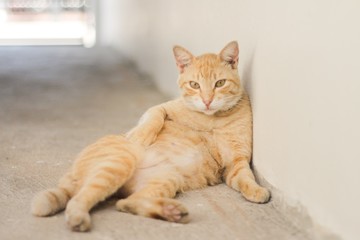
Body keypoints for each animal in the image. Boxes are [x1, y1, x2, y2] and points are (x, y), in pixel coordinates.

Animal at [31, 40, 270, 231]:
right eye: (194, 85)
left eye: (219, 83)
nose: (207, 101)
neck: (212, 119)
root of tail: (70, 172)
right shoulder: (164, 107)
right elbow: (154, 116)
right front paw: (140, 135)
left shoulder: (235, 162)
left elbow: (245, 178)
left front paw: (257, 191)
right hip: (119, 163)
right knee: (82, 198)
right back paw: (78, 218)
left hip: (166, 179)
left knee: (124, 203)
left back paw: (171, 211)